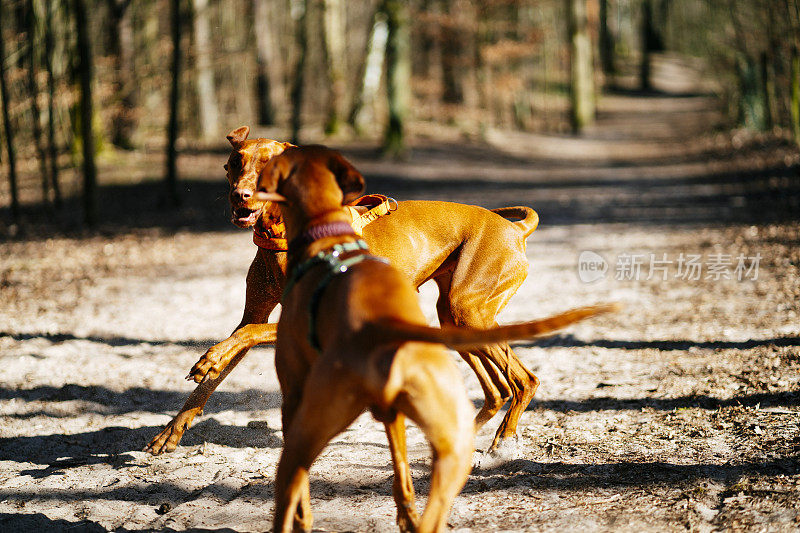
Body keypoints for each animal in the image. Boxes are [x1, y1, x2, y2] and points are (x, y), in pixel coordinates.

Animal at [146, 125, 540, 454]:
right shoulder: (253, 313)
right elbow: (216, 373)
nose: (239, 196)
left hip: (467, 310)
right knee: (497, 389)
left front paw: (209, 358)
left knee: (525, 380)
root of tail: (514, 228)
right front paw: (172, 430)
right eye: (233, 163)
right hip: (453, 320)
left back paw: (503, 438)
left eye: (269, 167)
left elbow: (249, 335)